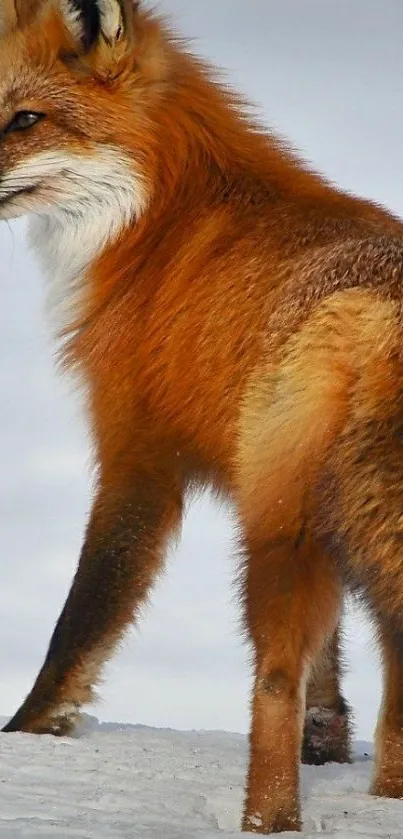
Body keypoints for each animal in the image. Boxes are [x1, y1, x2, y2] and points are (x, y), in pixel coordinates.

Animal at [0, 1, 403, 832]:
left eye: (26, 120)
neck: (158, 226)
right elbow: (331, 671)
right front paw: (331, 745)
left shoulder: (137, 453)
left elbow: (82, 617)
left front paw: (27, 730)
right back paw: (383, 794)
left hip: (277, 533)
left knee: (272, 681)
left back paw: (267, 819)